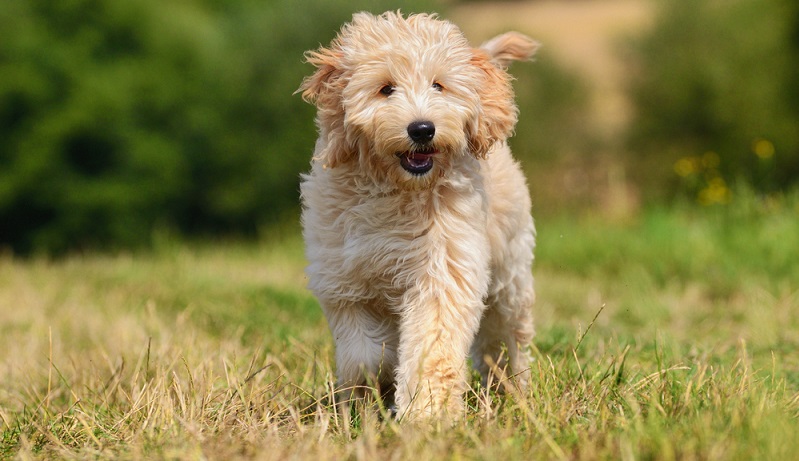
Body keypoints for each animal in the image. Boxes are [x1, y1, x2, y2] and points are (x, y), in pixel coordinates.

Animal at [298, 12, 536, 418]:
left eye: (438, 85)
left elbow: (432, 347)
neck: (396, 190)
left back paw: (513, 389)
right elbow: (362, 354)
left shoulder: (443, 271)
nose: (422, 129)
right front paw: (370, 392)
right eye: (386, 89)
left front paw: (427, 414)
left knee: (507, 335)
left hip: (509, 273)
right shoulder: (345, 282)